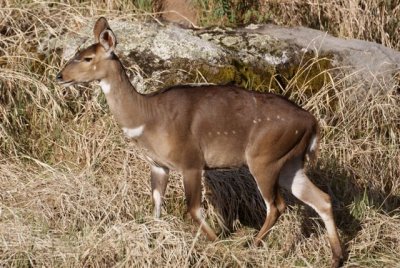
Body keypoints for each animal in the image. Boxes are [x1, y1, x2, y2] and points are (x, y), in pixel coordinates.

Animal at [56, 17, 344, 266]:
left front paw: (218, 244)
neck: (147, 117)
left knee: (276, 205)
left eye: (87, 58)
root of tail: (312, 122)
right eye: (77, 53)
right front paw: (154, 239)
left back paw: (252, 245)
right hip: (290, 162)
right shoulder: (158, 165)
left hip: (264, 159)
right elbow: (157, 205)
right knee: (321, 198)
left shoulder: (191, 162)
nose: (60, 76)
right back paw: (336, 258)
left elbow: (193, 209)